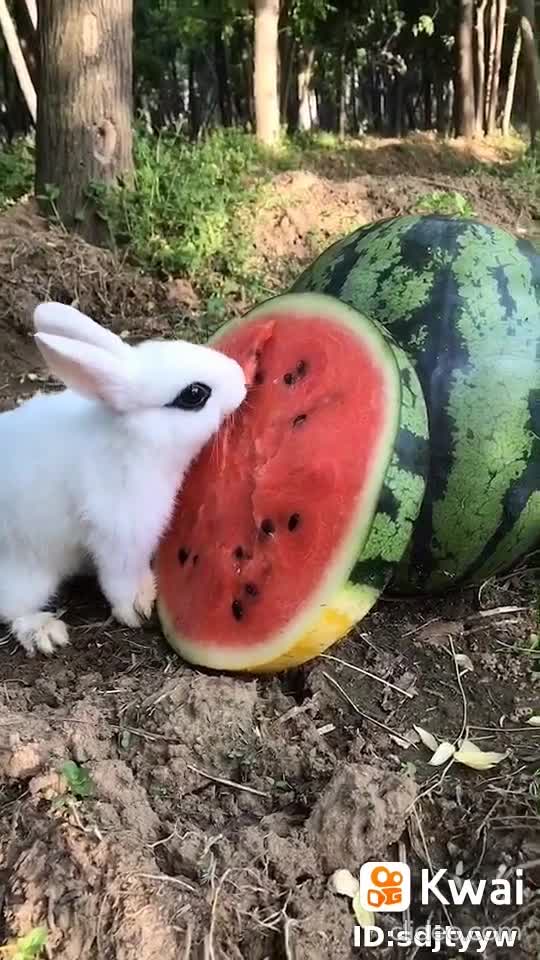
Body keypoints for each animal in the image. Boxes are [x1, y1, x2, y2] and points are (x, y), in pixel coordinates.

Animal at [0, 302, 247, 656]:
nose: (242, 381)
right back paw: (45, 632)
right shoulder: (121, 529)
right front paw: (137, 607)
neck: (131, 437)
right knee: (13, 608)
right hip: (26, 572)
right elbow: (120, 577)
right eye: (194, 394)